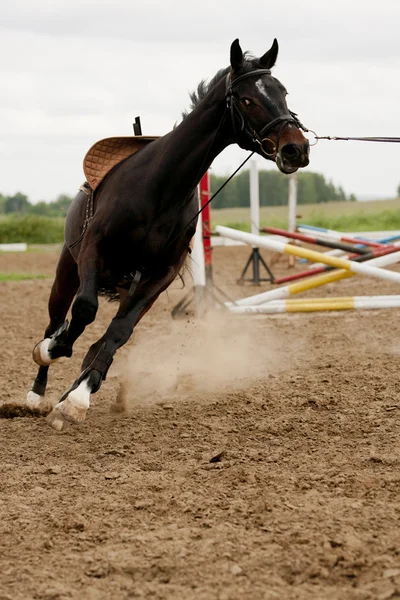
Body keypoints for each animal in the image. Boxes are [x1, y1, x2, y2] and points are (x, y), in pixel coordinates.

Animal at [25, 38, 310, 432]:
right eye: (247, 99)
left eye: (282, 92)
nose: (296, 148)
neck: (159, 189)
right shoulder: (93, 252)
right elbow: (82, 312)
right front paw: (54, 353)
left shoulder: (160, 275)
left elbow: (118, 332)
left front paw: (78, 398)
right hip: (67, 270)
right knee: (56, 318)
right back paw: (38, 390)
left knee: (106, 335)